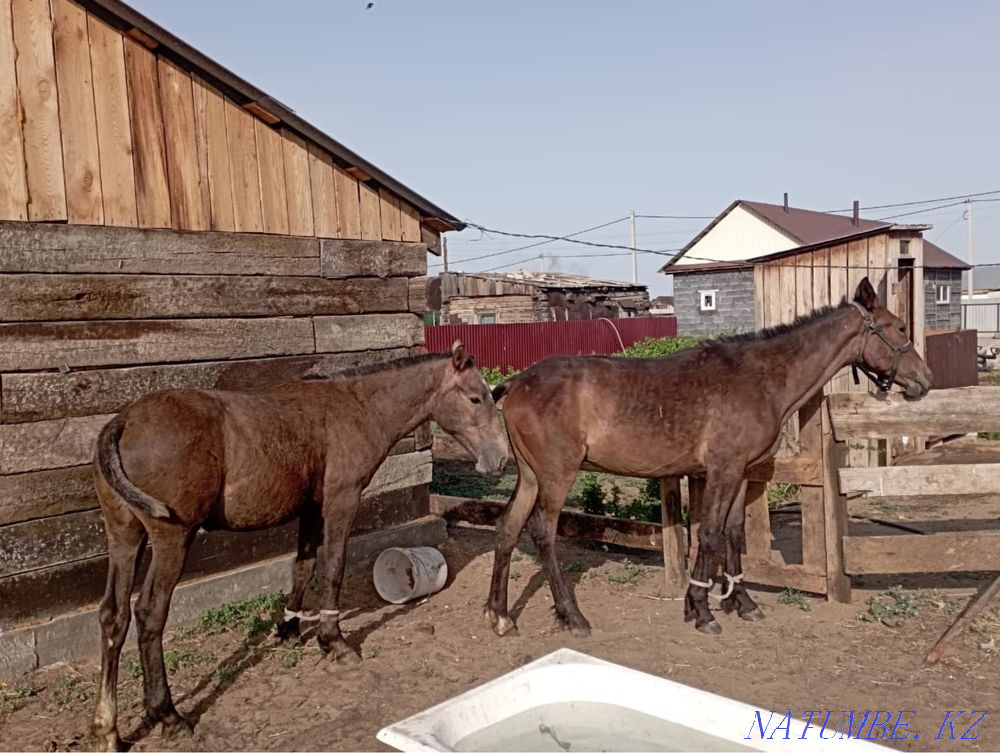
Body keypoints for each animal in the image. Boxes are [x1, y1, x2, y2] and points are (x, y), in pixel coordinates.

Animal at [89, 342, 507, 752]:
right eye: (474, 398)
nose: (500, 458)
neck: (357, 408)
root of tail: (124, 421)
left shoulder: (311, 508)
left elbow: (303, 567)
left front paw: (290, 626)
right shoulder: (342, 501)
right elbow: (334, 566)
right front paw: (334, 642)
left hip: (124, 535)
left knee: (114, 615)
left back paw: (108, 728)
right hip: (172, 539)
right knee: (149, 614)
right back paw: (168, 716)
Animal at [484, 277, 932, 638]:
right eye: (899, 327)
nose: (924, 380)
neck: (760, 379)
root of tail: (516, 383)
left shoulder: (741, 472)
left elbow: (733, 532)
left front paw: (742, 601)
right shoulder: (723, 469)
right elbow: (711, 533)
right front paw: (701, 610)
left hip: (530, 476)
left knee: (508, 527)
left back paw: (500, 615)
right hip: (557, 475)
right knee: (543, 532)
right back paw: (572, 616)